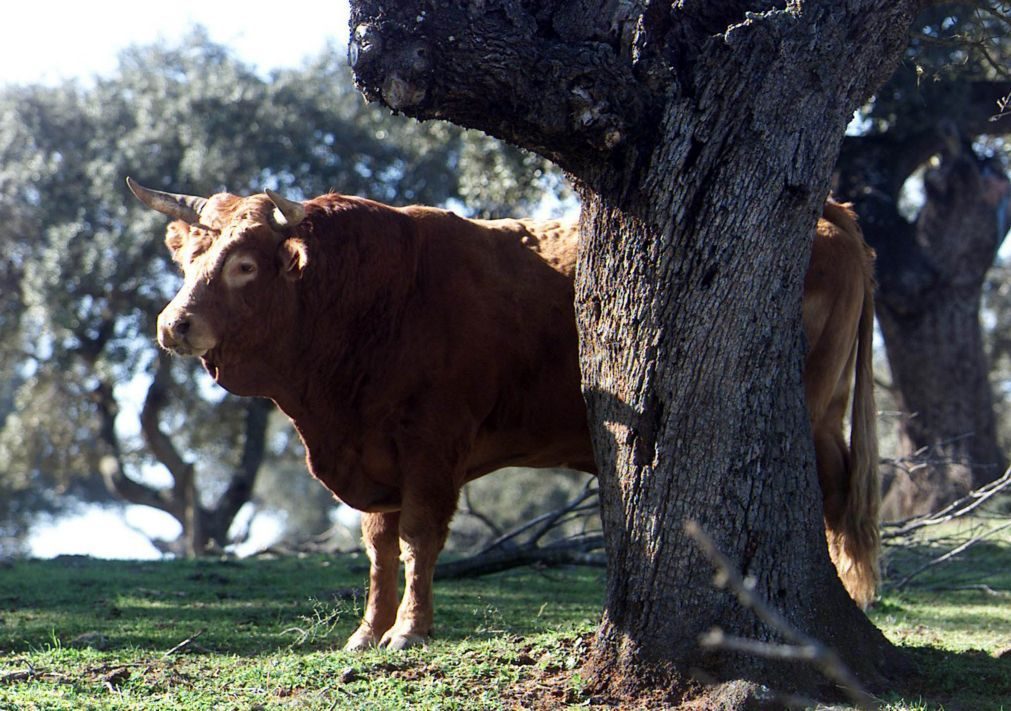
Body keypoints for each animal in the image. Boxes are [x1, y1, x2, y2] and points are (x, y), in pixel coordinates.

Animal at [126, 179, 881, 651]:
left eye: (245, 265)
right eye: (190, 256)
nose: (172, 324)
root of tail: (831, 209)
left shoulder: (432, 443)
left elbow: (419, 538)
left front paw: (409, 630)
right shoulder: (374, 453)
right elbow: (377, 545)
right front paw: (367, 631)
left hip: (813, 408)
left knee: (832, 489)